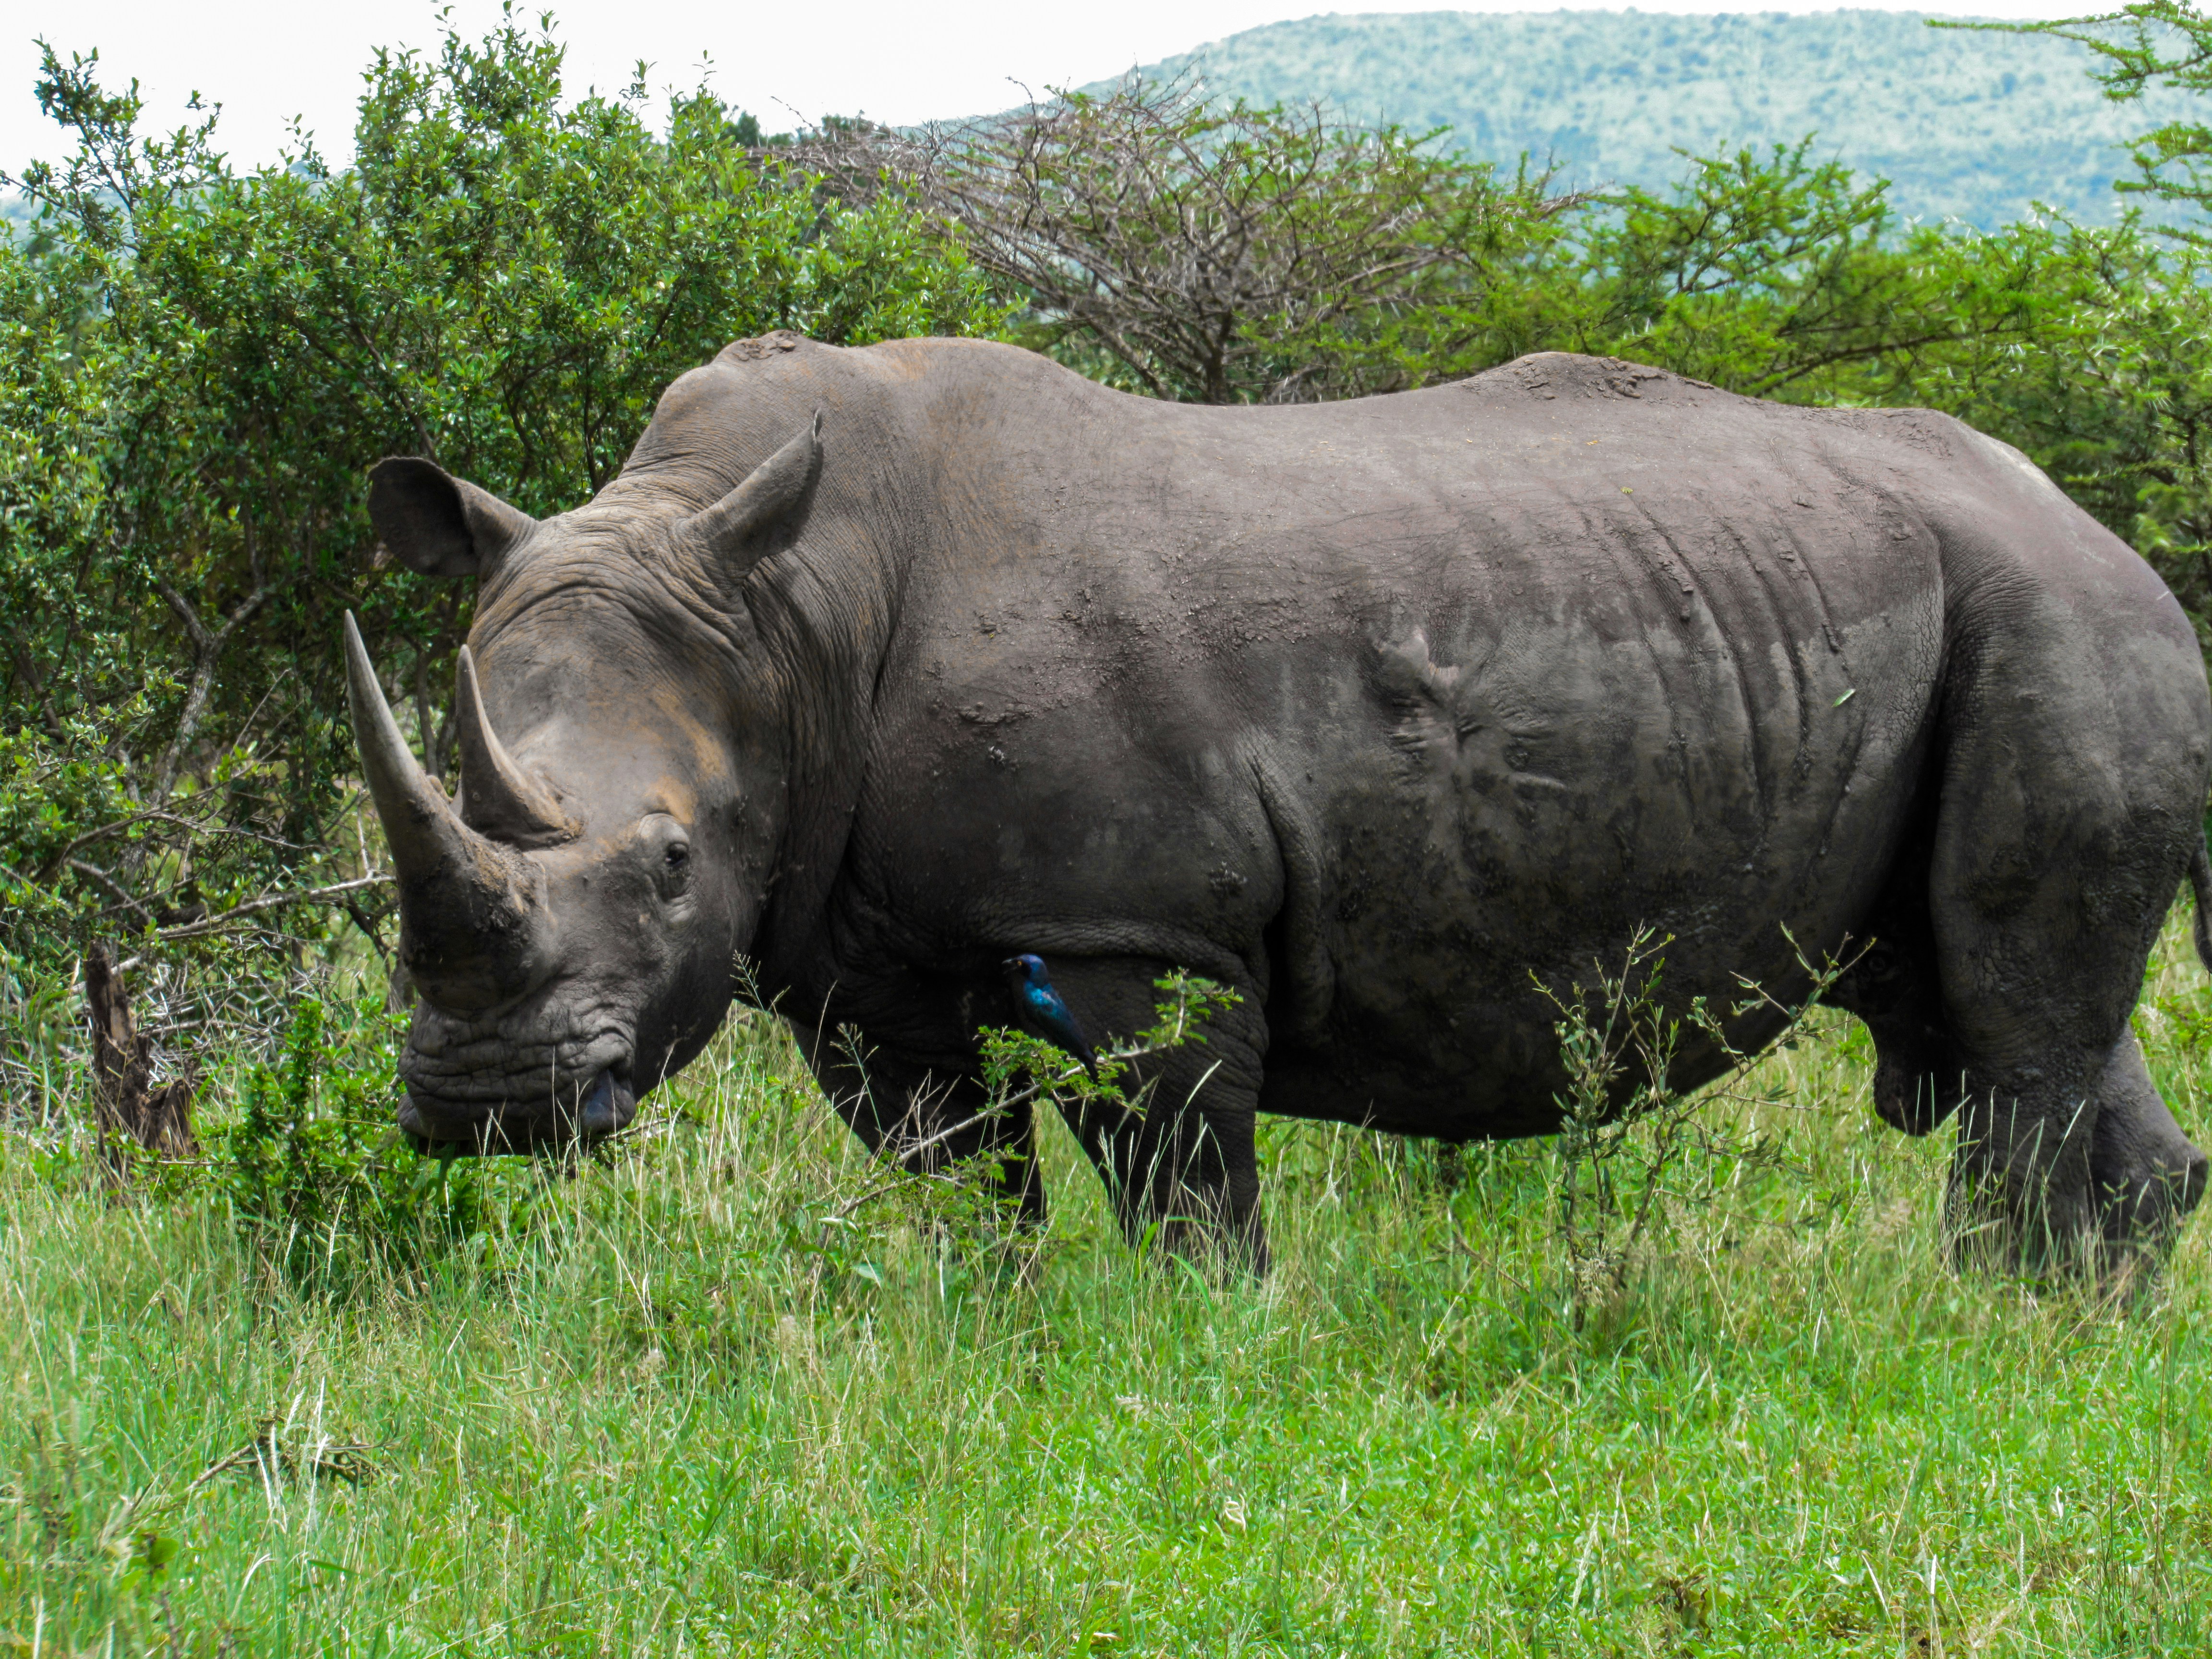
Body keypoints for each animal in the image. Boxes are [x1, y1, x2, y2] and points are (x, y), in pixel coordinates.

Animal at [344, 335, 2212, 1275]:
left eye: (668, 862)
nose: (487, 1104)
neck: (779, 607)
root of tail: (2094, 520)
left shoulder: (1133, 925)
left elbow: (1180, 1177)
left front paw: (1200, 1355)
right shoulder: (845, 959)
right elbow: (951, 1176)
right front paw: (985, 1340)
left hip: (2060, 612)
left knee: (2015, 1015)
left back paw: (1977, 1316)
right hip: (1992, 610)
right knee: (1996, 996)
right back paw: (2078, 1327)